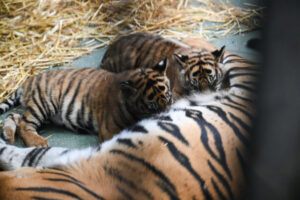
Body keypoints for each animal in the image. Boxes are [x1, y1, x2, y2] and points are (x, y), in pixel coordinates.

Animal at [0, 38, 258, 198]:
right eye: (152, 103)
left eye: (167, 95)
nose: (168, 110)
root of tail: (28, 82)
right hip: (43, 104)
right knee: (25, 123)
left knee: (15, 117)